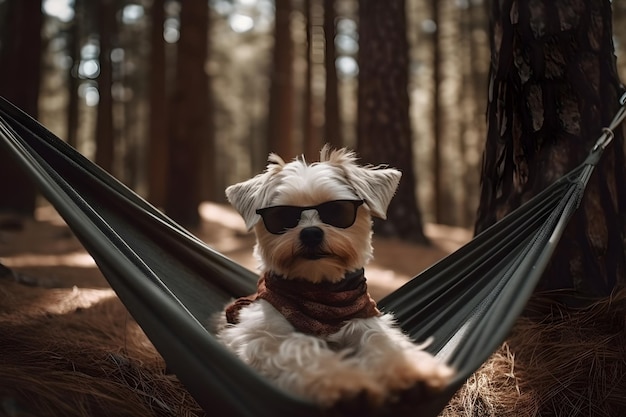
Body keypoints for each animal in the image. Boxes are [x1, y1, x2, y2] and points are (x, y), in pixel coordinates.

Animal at [217, 146, 450, 406]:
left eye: (337, 210)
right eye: (281, 216)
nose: (310, 233)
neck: (320, 294)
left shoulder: (364, 319)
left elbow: (381, 340)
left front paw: (410, 369)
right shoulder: (258, 335)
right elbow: (299, 348)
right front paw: (345, 382)